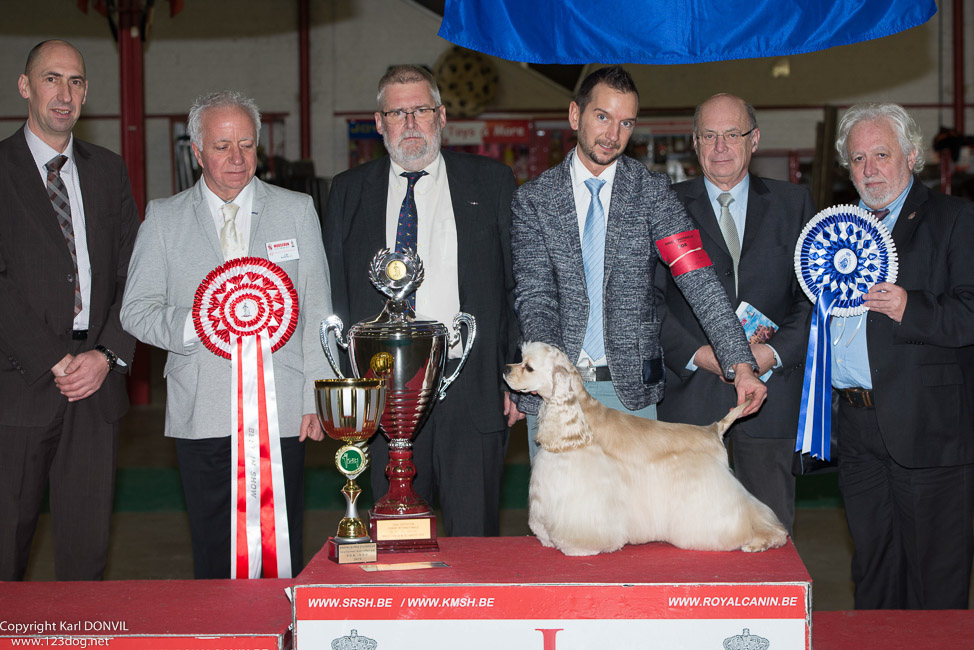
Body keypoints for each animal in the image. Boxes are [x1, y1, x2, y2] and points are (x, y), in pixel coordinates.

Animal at [508, 342, 788, 556]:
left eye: (528, 366)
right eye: (520, 360)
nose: (505, 369)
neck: (579, 418)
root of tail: (713, 430)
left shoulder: (584, 489)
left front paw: (578, 548)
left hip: (713, 489)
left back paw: (760, 541)